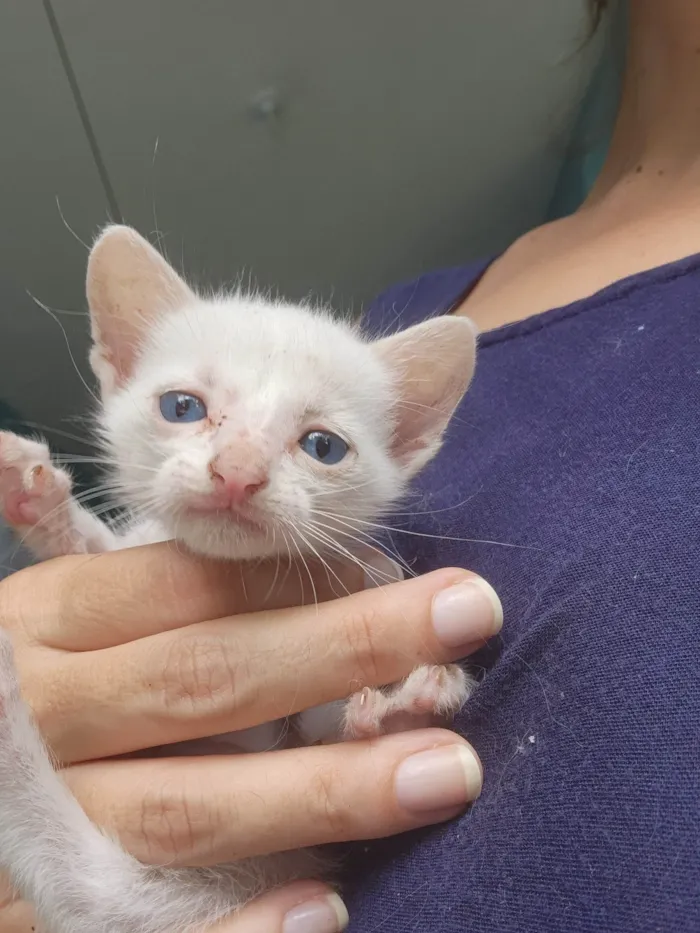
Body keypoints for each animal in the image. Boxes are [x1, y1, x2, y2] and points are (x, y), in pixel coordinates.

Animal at [0, 228, 476, 932]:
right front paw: (43, 506)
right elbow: (97, 547)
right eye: (182, 407)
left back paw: (405, 712)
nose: (238, 472)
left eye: (323, 447)